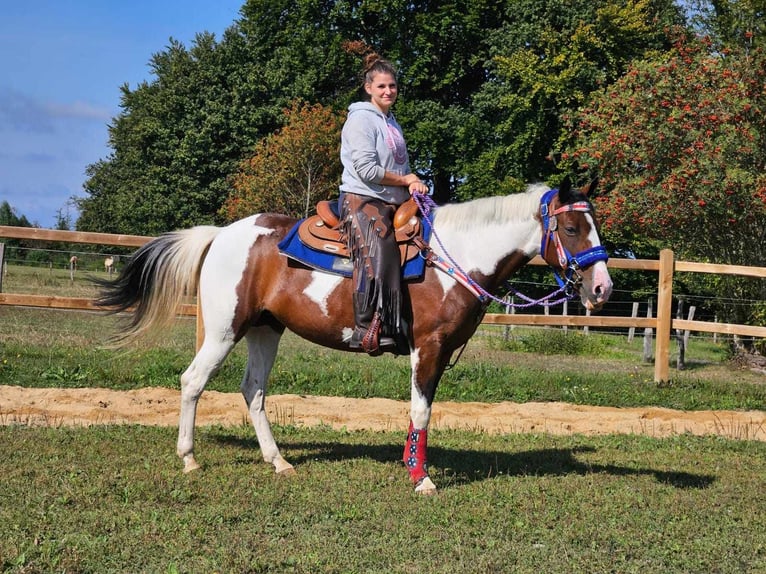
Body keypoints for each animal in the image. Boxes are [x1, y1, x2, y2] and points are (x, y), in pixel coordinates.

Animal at [96, 179, 616, 496]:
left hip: (265, 329)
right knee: (193, 381)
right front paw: (421, 479)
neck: (456, 257)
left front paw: (412, 467)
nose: (602, 289)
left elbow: (420, 412)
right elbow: (421, 411)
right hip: (225, 329)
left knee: (254, 391)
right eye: (572, 227)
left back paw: (278, 461)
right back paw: (188, 459)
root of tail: (222, 234)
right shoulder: (427, 347)